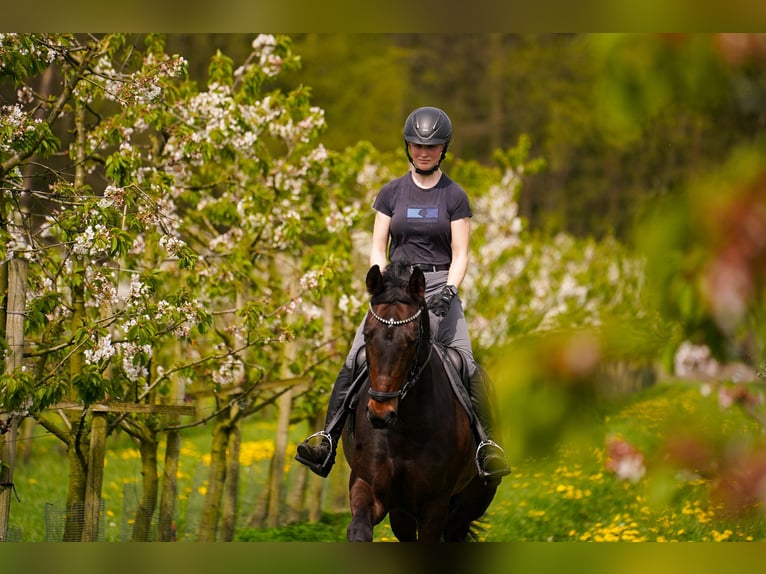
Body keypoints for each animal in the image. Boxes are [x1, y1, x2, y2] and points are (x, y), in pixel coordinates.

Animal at [342, 264, 498, 544]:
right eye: (367, 335)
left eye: (413, 339)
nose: (380, 414)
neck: (405, 428)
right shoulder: (368, 487)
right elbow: (358, 531)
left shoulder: (435, 505)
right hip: (402, 514)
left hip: (471, 502)